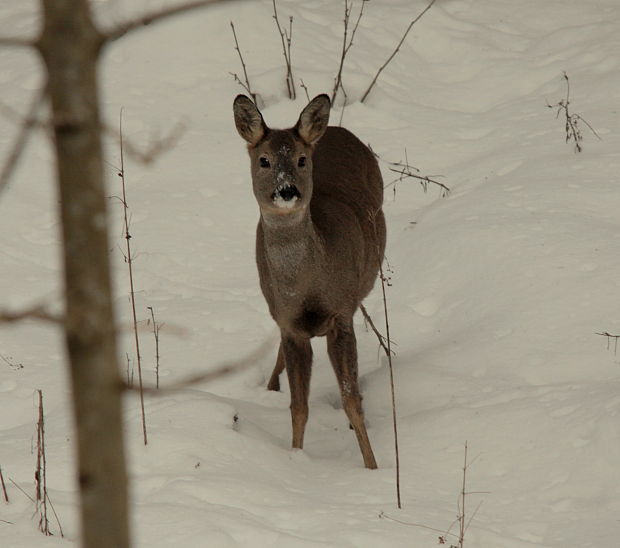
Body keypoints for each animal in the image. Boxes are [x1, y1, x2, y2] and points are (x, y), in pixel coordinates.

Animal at [234, 93, 386, 466]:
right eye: (264, 160)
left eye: (302, 160)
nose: (287, 191)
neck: (308, 288)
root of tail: (335, 129)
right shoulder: (290, 324)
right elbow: (298, 406)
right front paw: (296, 457)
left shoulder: (341, 314)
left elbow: (350, 400)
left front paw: (373, 466)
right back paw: (271, 384)